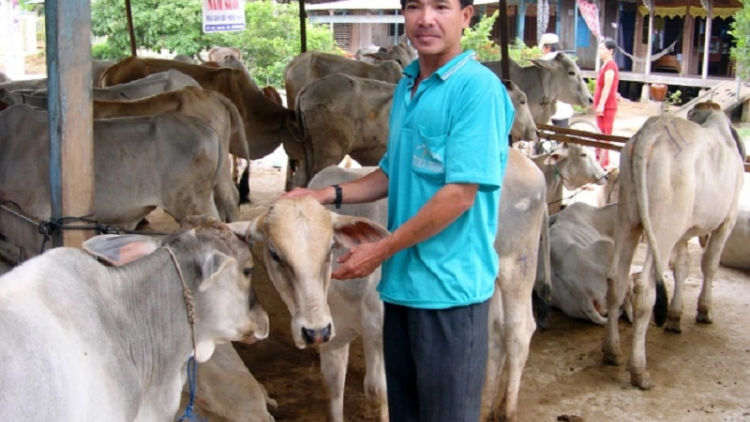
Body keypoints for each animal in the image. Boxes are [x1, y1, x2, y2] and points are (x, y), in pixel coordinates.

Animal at [604, 107, 748, 390]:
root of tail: (653, 129)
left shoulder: (682, 233)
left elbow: (681, 266)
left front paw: (675, 316)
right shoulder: (727, 222)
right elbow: (709, 265)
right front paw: (704, 310)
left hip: (628, 218)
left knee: (617, 280)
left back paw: (612, 351)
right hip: (662, 227)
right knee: (644, 290)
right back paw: (639, 370)